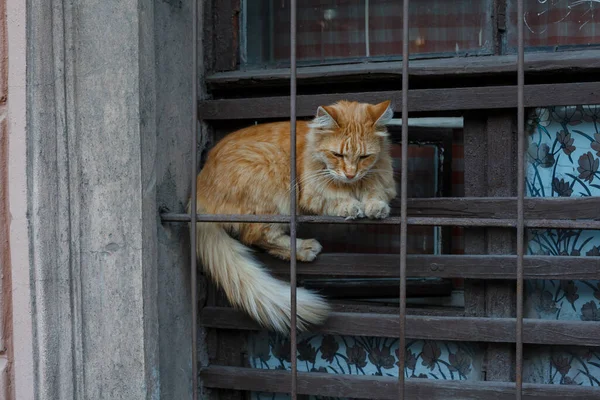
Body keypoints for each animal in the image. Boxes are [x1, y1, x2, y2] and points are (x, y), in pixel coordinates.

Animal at [188, 101, 394, 334]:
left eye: (364, 157)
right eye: (337, 155)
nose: (350, 174)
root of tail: (200, 185)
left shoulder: (383, 181)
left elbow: (375, 193)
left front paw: (375, 206)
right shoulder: (311, 194)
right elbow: (334, 200)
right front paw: (351, 206)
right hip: (274, 183)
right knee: (258, 236)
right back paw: (305, 248)